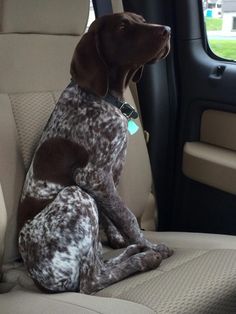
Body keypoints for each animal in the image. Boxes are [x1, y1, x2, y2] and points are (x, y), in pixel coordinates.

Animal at [16, 12, 171, 294]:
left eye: (142, 20)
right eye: (122, 27)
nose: (167, 30)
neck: (105, 98)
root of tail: (37, 276)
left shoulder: (109, 176)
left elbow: (113, 214)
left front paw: (121, 239)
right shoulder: (93, 177)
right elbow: (128, 217)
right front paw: (151, 245)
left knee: (99, 263)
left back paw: (131, 252)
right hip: (76, 195)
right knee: (91, 281)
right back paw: (146, 257)